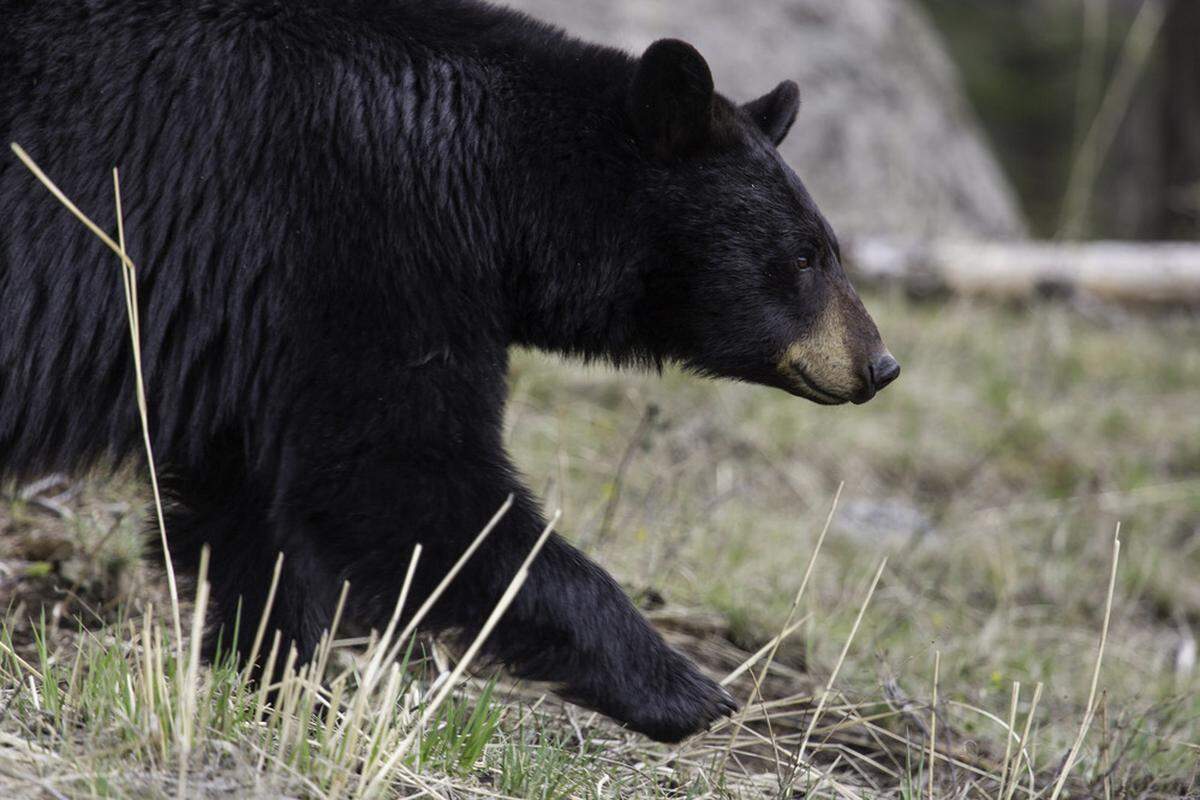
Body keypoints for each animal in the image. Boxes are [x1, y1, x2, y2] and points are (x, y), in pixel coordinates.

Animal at [0, 0, 899, 742]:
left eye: (831, 248)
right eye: (804, 256)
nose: (880, 363)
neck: (496, 177)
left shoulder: (260, 327)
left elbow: (254, 508)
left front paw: (286, 689)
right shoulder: (362, 240)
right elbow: (402, 477)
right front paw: (684, 688)